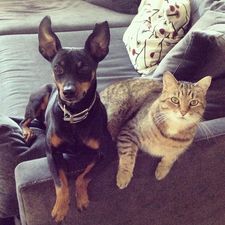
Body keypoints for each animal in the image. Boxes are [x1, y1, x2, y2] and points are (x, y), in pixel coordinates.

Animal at [20, 16, 112, 222]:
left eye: (84, 68)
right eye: (57, 68)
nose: (68, 92)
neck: (74, 114)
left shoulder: (106, 153)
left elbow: (82, 176)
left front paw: (82, 199)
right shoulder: (52, 153)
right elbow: (61, 183)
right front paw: (61, 208)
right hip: (38, 99)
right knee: (24, 121)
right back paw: (28, 132)